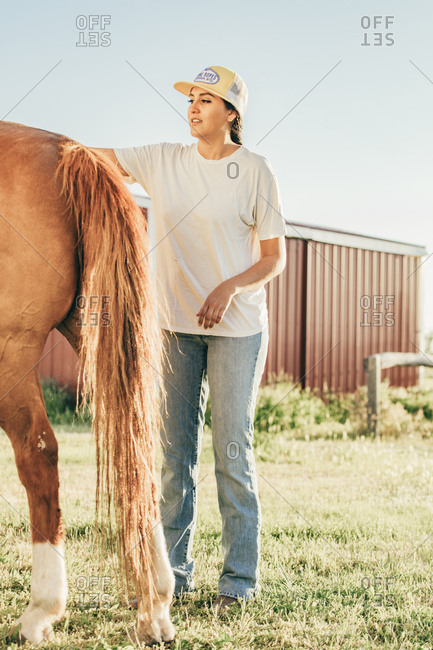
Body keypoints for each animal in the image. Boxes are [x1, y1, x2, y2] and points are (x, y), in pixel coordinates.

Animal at [0, 121, 175, 645]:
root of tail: (68, 149)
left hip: (11, 354)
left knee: (39, 453)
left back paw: (41, 610)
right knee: (138, 450)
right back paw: (156, 607)